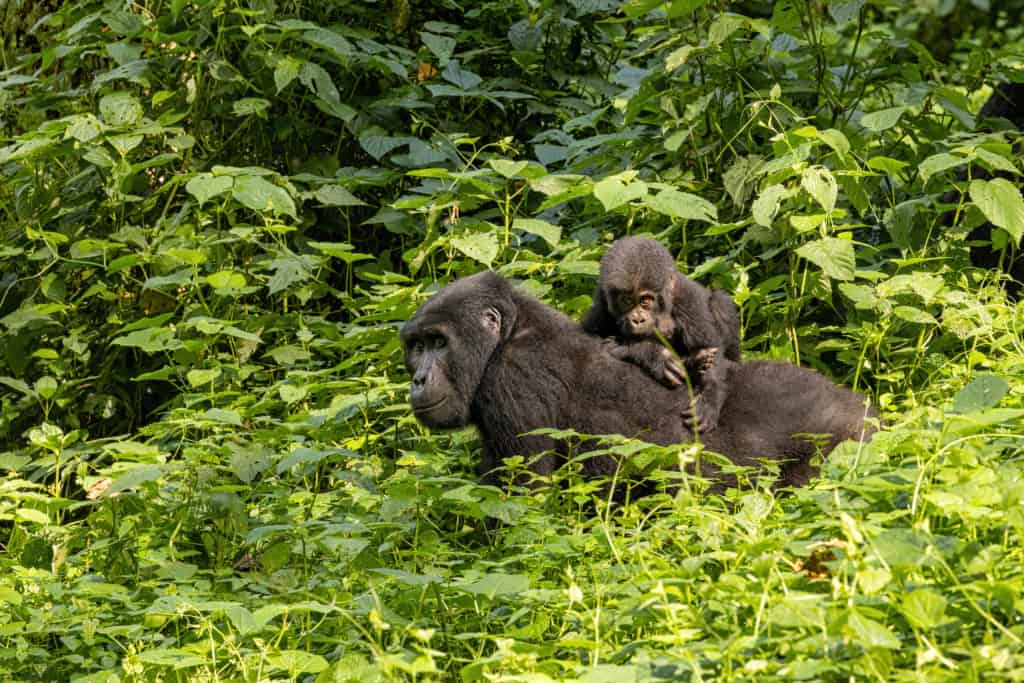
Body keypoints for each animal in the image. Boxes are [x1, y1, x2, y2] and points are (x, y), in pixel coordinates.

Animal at [403, 270, 876, 489]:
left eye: (439, 342)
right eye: (416, 346)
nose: (419, 379)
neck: (509, 334)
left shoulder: (512, 380)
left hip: (843, 438)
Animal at [581, 239, 741, 432]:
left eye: (645, 301)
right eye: (626, 300)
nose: (637, 319)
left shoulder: (686, 296)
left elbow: (708, 348)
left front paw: (710, 398)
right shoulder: (601, 308)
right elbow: (593, 343)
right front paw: (654, 354)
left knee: (720, 303)